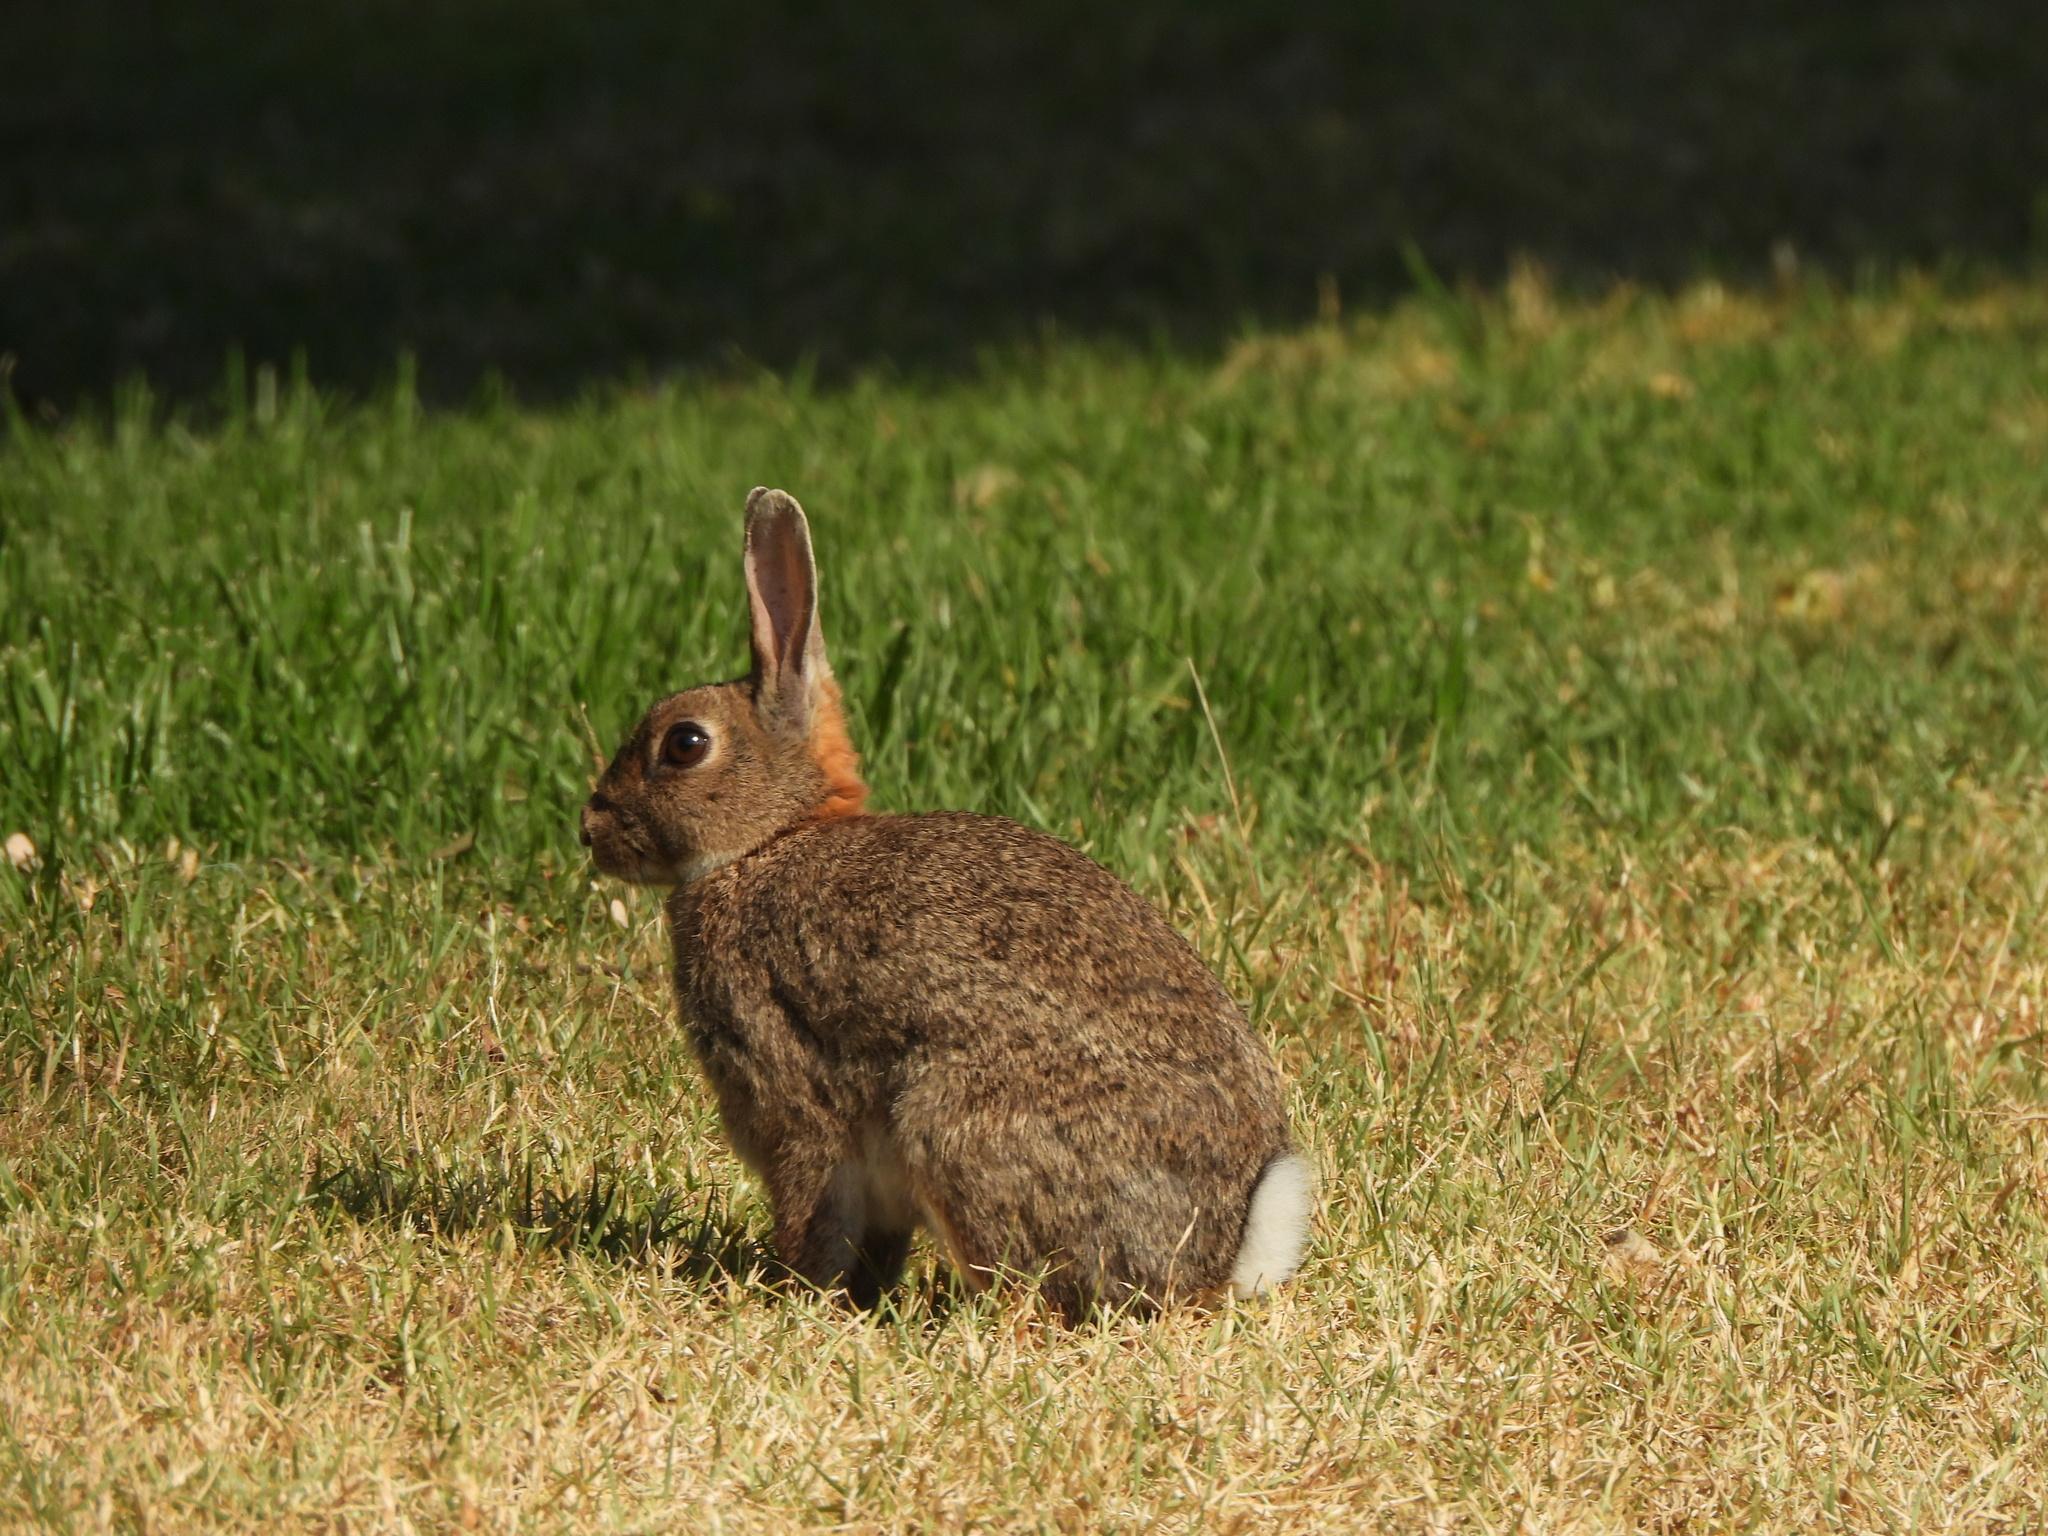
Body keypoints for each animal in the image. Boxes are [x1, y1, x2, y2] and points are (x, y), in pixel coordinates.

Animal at [580, 487, 1311, 1317]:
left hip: (951, 1125)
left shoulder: (790, 1098)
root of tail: (1224, 1252)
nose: (589, 828)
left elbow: (811, 1208)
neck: (769, 841)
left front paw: (796, 1297)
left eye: (685, 744)